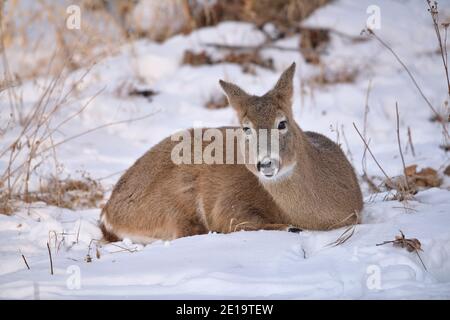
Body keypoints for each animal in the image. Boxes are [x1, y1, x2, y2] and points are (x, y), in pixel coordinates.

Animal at [100, 62, 364, 242]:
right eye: (246, 128)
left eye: (282, 123)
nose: (265, 163)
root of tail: (109, 212)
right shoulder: (228, 203)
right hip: (173, 202)